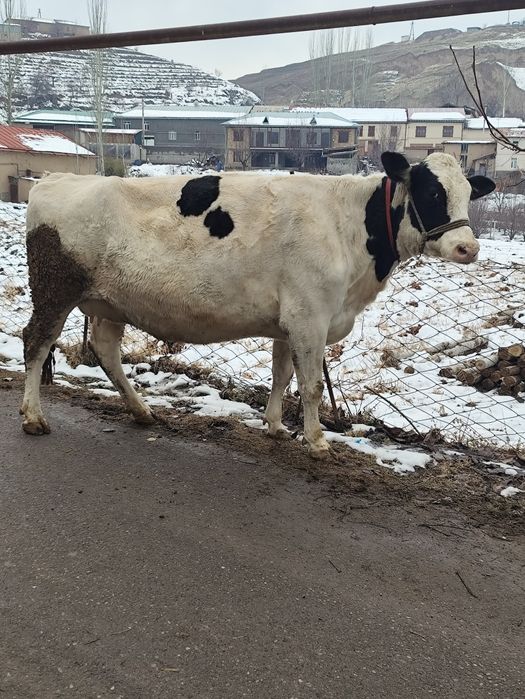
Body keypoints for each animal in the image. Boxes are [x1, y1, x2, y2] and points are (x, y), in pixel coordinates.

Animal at [20, 151, 494, 458]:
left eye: (469, 194)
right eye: (431, 193)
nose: (467, 247)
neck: (350, 227)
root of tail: (54, 179)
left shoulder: (289, 321)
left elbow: (282, 377)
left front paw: (276, 427)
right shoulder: (309, 316)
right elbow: (311, 384)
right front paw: (317, 441)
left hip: (108, 301)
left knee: (105, 350)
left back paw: (141, 411)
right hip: (55, 289)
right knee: (36, 343)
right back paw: (33, 417)